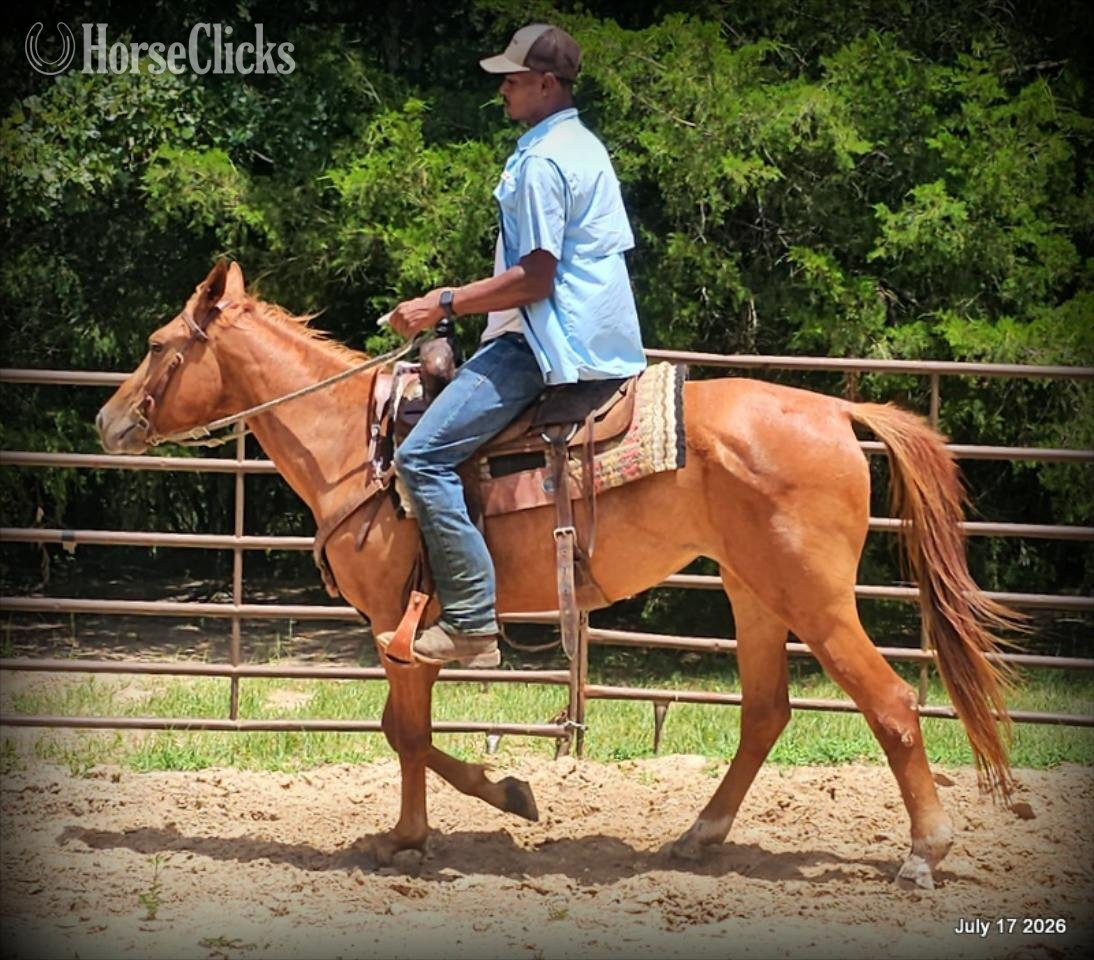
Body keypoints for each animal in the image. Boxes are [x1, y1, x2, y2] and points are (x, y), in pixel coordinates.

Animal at [96, 260, 1019, 889]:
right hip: (752, 591)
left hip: (816, 599)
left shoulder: (399, 625)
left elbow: (406, 733)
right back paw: (699, 836)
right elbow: (406, 731)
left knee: (890, 703)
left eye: (156, 346)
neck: (360, 443)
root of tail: (834, 409)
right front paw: (468, 810)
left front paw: (447, 822)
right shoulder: (406, 633)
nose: (106, 420)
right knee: (764, 713)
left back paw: (923, 854)